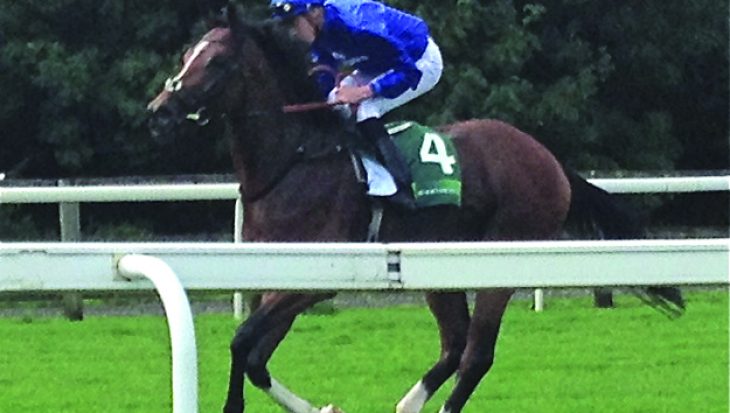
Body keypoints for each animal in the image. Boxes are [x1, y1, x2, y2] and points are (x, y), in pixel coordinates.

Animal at [145, 6, 680, 412]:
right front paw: (322, 408)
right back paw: (408, 404)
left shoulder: (316, 279)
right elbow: (256, 357)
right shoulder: (268, 274)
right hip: (440, 265)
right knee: (455, 343)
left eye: (216, 61)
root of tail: (549, 158)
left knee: (476, 354)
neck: (295, 160)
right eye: (186, 55)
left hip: (503, 257)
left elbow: (242, 342)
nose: (159, 110)